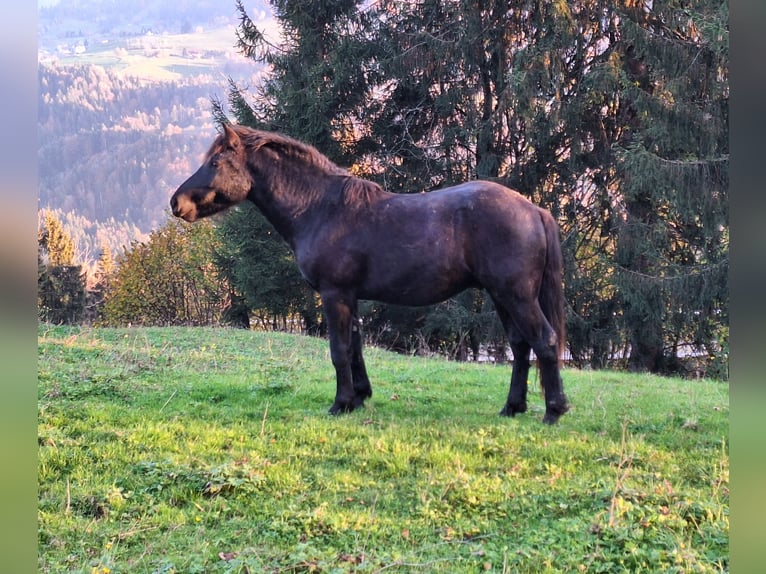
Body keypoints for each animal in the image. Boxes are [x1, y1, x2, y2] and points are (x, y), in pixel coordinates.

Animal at [172, 125, 568, 424]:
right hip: (502, 295)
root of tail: (533, 209)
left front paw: (340, 403)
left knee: (544, 340)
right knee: (520, 345)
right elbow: (355, 347)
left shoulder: (334, 294)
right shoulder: (350, 296)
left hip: (516, 295)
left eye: (216, 161)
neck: (321, 209)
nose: (177, 203)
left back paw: (554, 411)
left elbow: (338, 349)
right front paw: (360, 397)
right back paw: (512, 407)